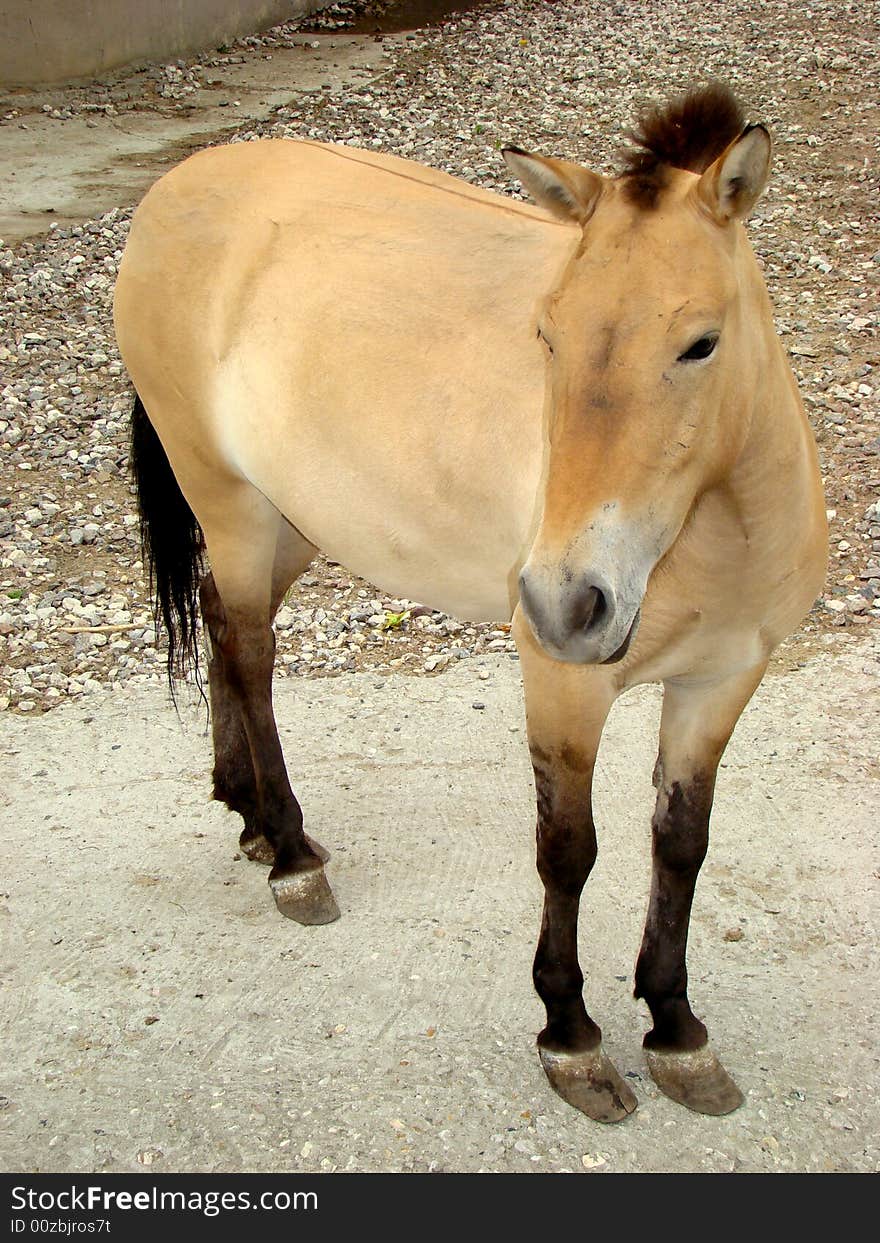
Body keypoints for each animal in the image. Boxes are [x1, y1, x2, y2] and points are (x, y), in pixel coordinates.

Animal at [113, 82, 830, 1123]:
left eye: (702, 343)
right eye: (548, 335)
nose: (569, 601)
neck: (713, 524)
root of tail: (175, 187)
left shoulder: (723, 680)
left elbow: (681, 845)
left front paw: (676, 1028)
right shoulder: (564, 686)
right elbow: (568, 849)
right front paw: (571, 1035)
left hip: (295, 519)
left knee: (219, 621)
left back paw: (246, 813)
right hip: (230, 502)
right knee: (248, 649)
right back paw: (291, 856)